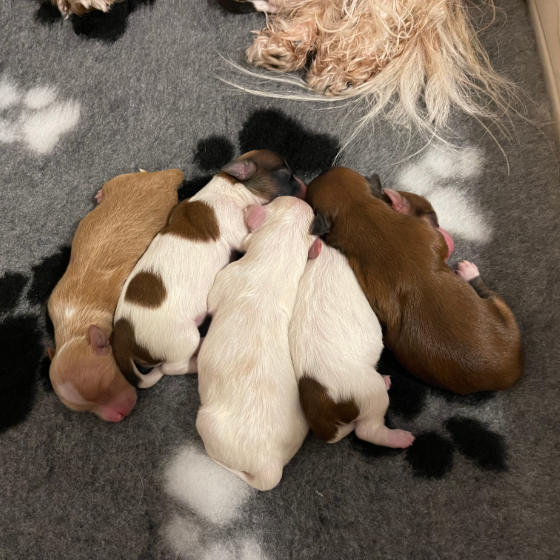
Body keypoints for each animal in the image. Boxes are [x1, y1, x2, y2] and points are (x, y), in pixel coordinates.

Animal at [47, 168, 184, 422]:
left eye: (108, 383)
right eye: (88, 409)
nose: (119, 417)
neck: (77, 325)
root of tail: (166, 177)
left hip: (165, 201)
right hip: (125, 180)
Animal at [110, 149, 306, 390]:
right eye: (286, 175)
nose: (305, 185)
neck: (233, 187)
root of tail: (122, 336)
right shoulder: (240, 233)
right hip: (183, 338)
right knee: (171, 367)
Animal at [304, 168, 524, 396]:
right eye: (433, 217)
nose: (439, 224)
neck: (359, 211)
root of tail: (512, 373)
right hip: (504, 313)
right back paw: (469, 271)